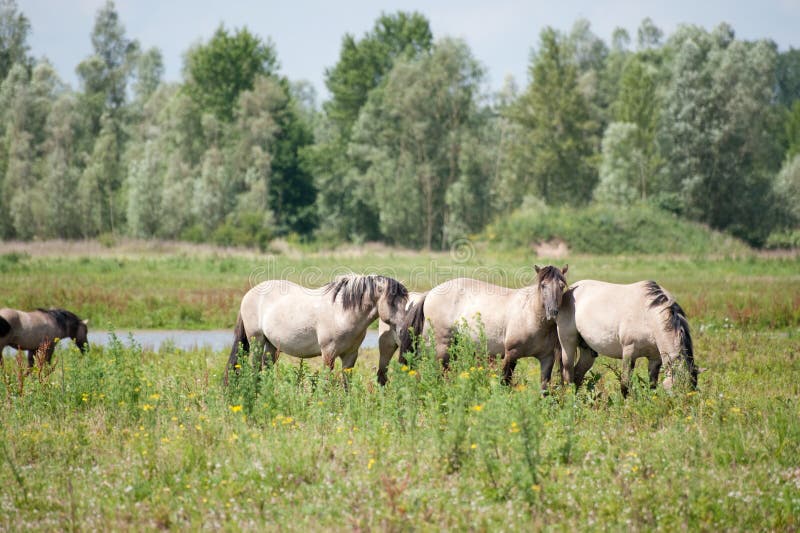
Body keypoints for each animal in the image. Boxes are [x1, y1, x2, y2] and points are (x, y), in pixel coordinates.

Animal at [227, 274, 410, 382]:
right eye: (392, 302)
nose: (404, 330)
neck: (342, 313)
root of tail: (249, 294)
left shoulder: (350, 355)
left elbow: (347, 383)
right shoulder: (328, 354)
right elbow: (327, 381)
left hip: (271, 345)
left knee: (266, 367)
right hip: (256, 341)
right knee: (255, 368)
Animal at [400, 264, 568, 386]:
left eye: (561, 286)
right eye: (543, 285)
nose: (553, 312)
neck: (530, 315)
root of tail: (429, 293)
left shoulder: (546, 359)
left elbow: (544, 389)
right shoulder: (511, 354)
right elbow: (504, 382)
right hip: (443, 348)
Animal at [556, 278, 700, 394]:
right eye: (677, 391)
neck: (648, 314)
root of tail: (571, 289)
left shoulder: (655, 358)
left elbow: (652, 385)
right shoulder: (629, 353)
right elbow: (625, 385)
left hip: (588, 351)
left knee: (577, 375)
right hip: (567, 344)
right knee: (568, 373)